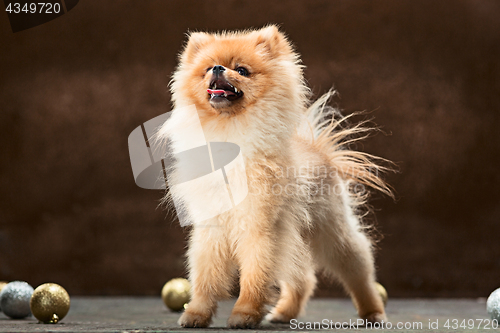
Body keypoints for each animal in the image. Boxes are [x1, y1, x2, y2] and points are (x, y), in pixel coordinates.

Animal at [158, 25, 392, 326]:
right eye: (209, 68)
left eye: (242, 70)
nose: (219, 68)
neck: (229, 132)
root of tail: (318, 149)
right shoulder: (212, 227)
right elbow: (205, 276)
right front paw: (196, 313)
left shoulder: (259, 226)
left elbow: (254, 275)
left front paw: (245, 314)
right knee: (304, 278)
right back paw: (283, 313)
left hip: (331, 230)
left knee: (358, 267)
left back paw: (373, 311)